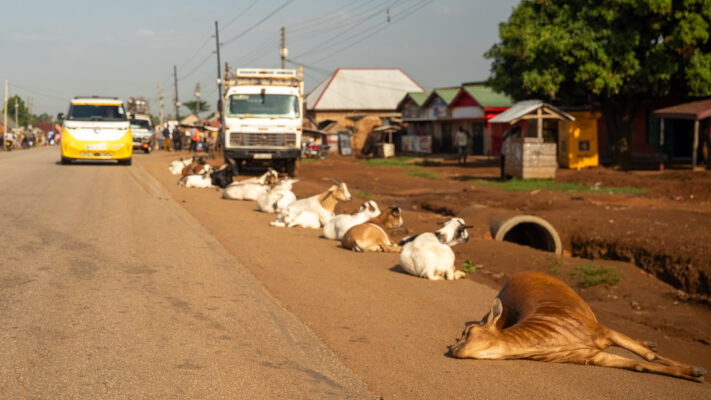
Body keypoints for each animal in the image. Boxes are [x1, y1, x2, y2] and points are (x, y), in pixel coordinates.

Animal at [449, 271, 708, 382]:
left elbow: (649, 357)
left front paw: (696, 369)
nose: (452, 347)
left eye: (466, 333)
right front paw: (691, 373)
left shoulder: (603, 332)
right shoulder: (592, 357)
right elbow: (639, 364)